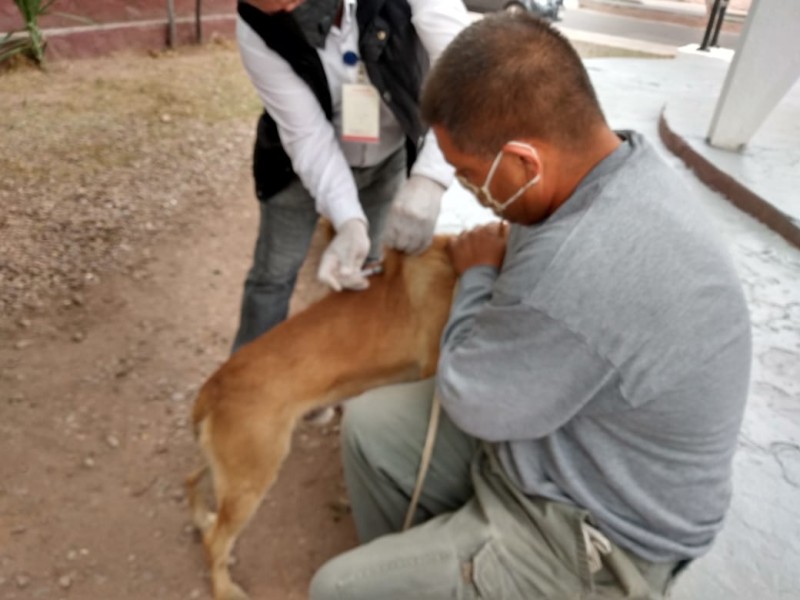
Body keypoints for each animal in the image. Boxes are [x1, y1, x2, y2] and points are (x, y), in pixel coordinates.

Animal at [183, 237, 456, 600]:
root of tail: (214, 387)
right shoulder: (432, 375)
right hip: (252, 480)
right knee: (215, 543)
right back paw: (225, 588)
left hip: (234, 466)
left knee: (192, 479)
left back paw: (201, 517)